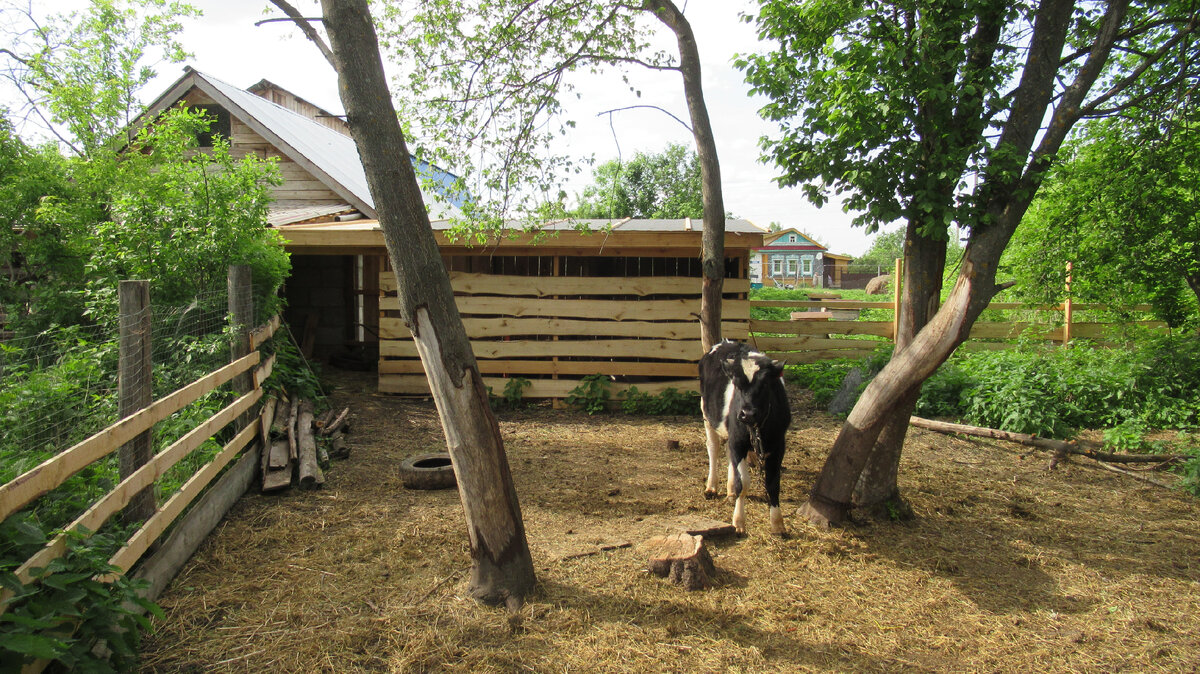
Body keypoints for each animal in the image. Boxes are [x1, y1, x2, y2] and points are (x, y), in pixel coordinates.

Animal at [700, 338, 792, 532]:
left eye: (765, 384)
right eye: (736, 383)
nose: (747, 414)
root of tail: (726, 342)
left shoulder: (779, 445)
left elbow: (773, 484)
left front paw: (778, 523)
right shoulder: (738, 441)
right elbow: (743, 483)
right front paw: (739, 521)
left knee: (729, 455)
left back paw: (729, 490)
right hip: (706, 412)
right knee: (713, 448)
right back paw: (712, 486)